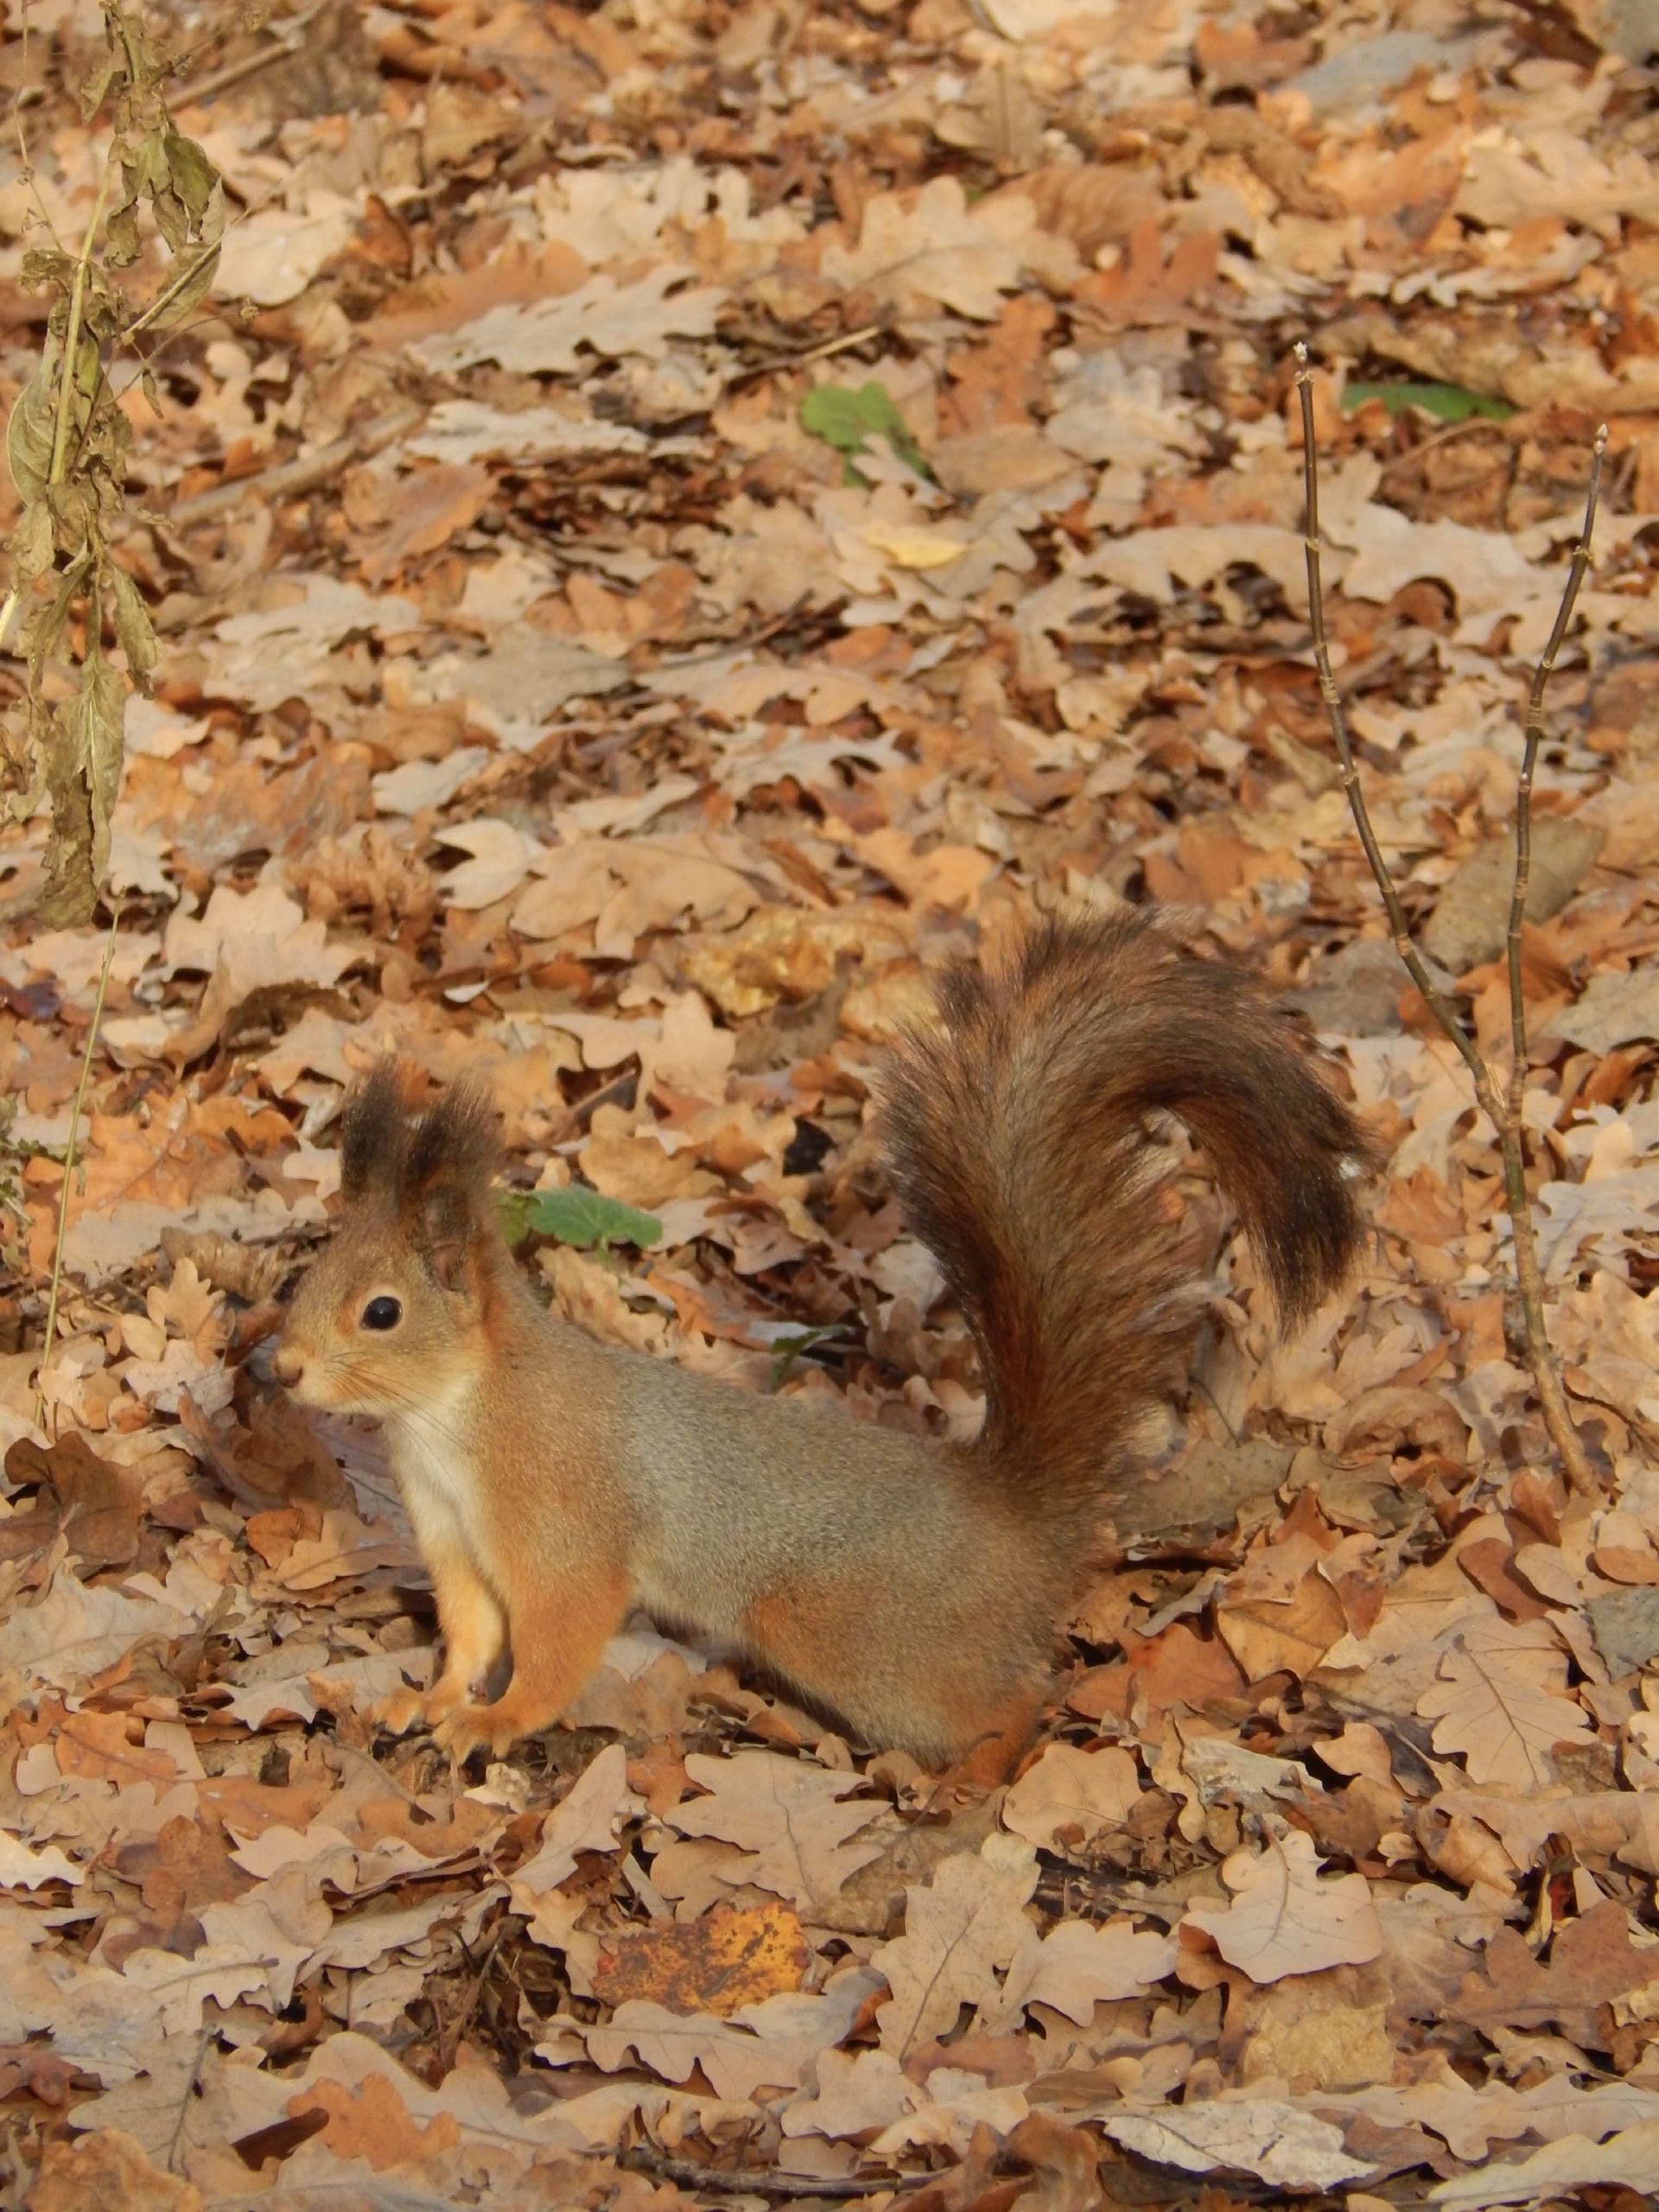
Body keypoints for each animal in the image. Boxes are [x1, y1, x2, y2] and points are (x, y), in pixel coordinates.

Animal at [273, 906, 1371, 1770]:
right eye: (301, 1276)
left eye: (381, 1311)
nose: (278, 1368)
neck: (449, 1417)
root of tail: (1016, 1513)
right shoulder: (452, 1539)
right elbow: (469, 1634)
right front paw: (432, 1700)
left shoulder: (564, 1523)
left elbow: (556, 1640)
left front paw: (500, 1723)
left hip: (840, 1630)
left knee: (1016, 1705)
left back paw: (966, 1784)